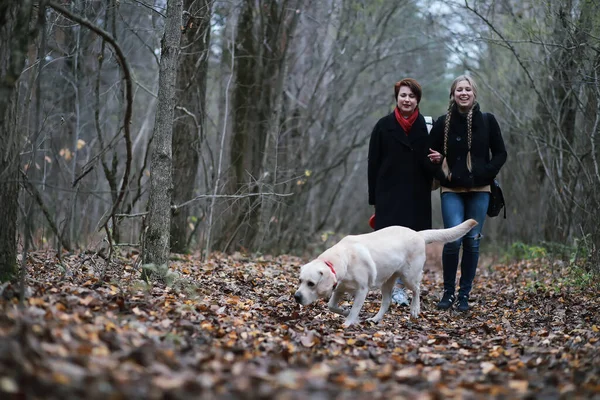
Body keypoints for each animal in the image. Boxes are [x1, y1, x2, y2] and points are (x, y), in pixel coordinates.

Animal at [292, 219, 476, 328]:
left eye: (311, 284)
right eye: (300, 280)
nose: (296, 297)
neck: (343, 258)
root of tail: (417, 233)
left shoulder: (362, 290)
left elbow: (355, 309)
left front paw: (348, 322)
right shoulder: (339, 288)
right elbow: (331, 306)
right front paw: (344, 311)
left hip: (409, 276)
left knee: (417, 289)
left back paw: (415, 309)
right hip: (387, 281)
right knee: (387, 302)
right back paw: (375, 319)